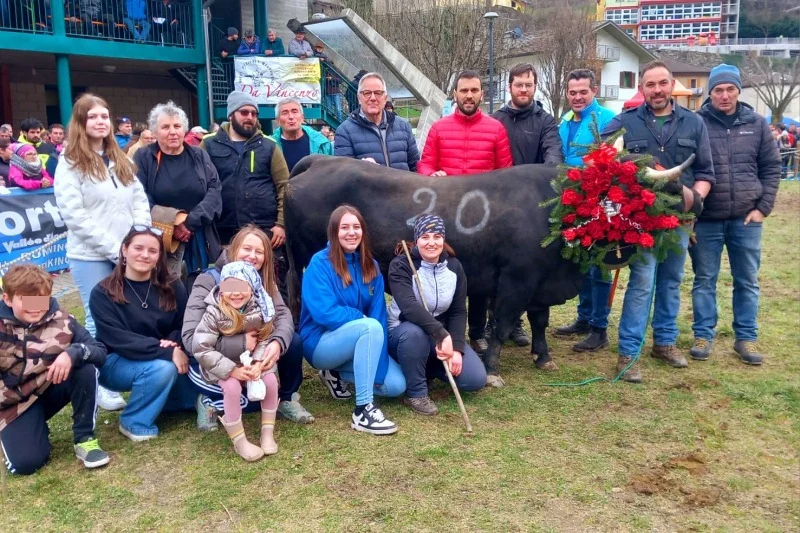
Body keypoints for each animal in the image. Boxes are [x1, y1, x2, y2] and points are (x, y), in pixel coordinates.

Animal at [285, 152, 691, 387]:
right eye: (638, 191)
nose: (692, 204)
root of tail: (322, 160)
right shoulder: (516, 280)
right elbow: (505, 323)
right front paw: (493, 368)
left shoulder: (539, 283)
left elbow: (539, 321)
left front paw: (543, 357)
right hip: (301, 263)